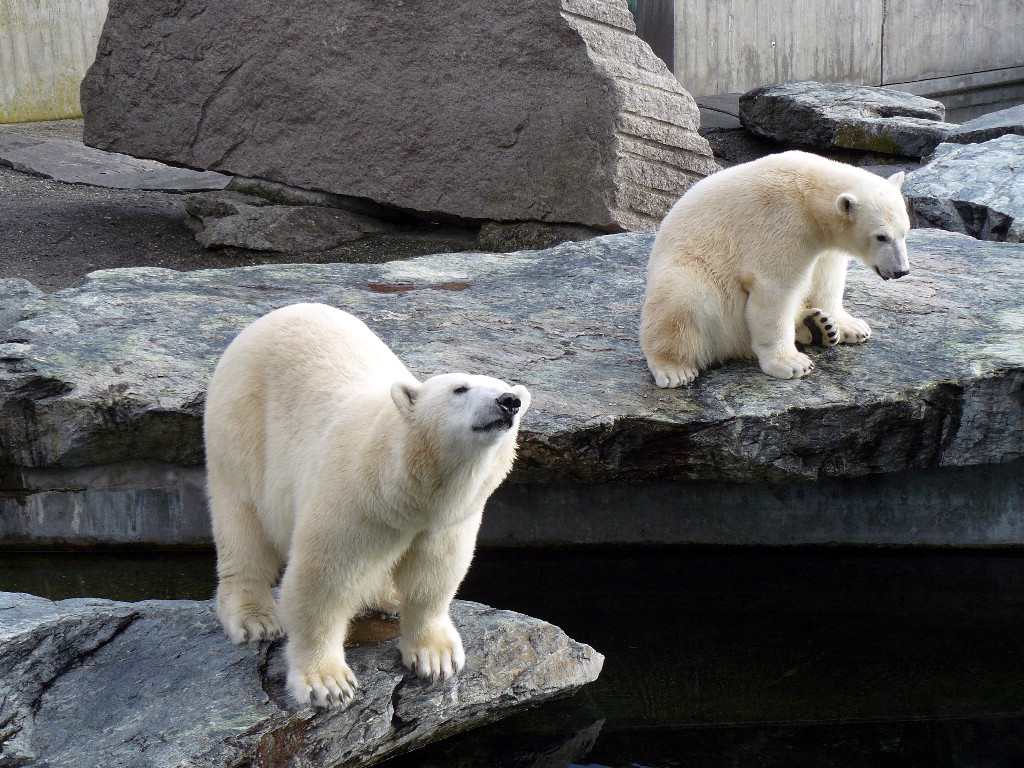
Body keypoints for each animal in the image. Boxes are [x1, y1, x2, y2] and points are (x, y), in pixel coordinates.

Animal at [203, 303, 530, 709]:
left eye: (509, 390)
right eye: (460, 388)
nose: (509, 402)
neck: (401, 484)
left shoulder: (446, 519)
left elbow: (434, 574)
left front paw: (436, 658)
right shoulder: (354, 500)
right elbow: (322, 582)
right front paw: (327, 683)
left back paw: (388, 596)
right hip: (241, 431)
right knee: (243, 523)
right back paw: (254, 618)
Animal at [640, 150, 911, 386]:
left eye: (904, 232)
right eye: (881, 237)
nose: (901, 271)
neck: (809, 195)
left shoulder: (823, 244)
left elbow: (827, 278)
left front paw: (853, 327)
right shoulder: (781, 224)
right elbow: (775, 290)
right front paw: (791, 364)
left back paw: (819, 325)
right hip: (693, 275)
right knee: (683, 299)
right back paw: (675, 369)